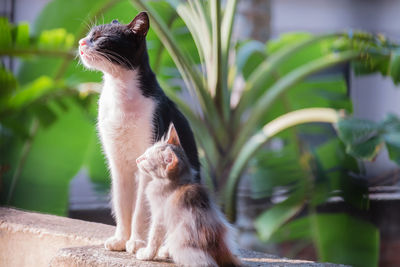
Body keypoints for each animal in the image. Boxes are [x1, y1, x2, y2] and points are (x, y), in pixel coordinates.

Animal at [79, 12, 200, 253]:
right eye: (89, 34)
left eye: (101, 38)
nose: (81, 43)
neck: (120, 94)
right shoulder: (117, 164)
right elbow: (123, 205)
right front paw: (120, 239)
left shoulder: (149, 157)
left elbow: (140, 210)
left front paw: (136, 243)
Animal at [138, 124, 239, 266]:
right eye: (145, 153)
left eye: (146, 159)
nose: (137, 159)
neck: (177, 183)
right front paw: (164, 252)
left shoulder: (160, 217)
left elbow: (154, 237)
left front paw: (147, 254)